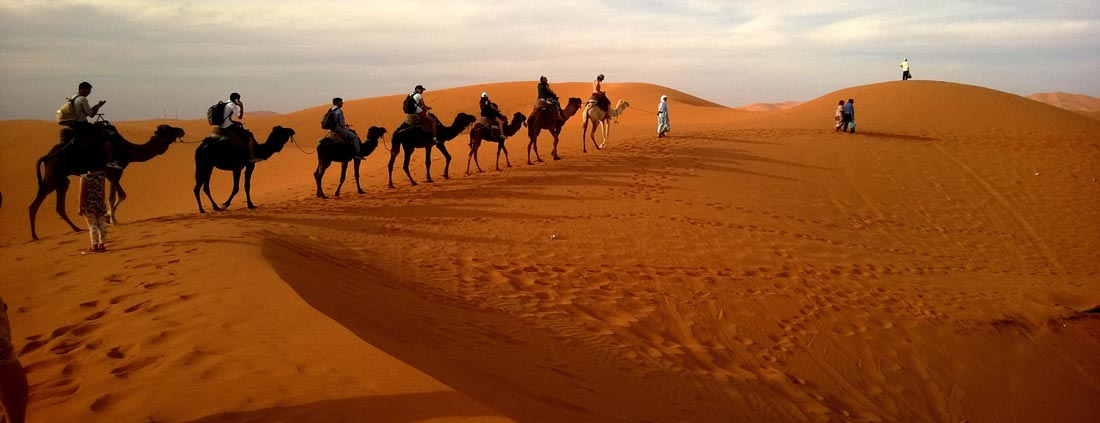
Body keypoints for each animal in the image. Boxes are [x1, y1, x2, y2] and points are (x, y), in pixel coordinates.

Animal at [28, 123, 184, 239]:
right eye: (169, 129)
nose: (181, 130)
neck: (128, 151)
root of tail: (47, 156)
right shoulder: (116, 171)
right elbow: (111, 196)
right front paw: (114, 221)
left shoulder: (112, 173)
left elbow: (122, 195)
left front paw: (108, 217)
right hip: (54, 175)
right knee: (35, 204)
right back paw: (35, 236)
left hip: (61, 179)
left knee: (59, 205)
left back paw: (76, 228)